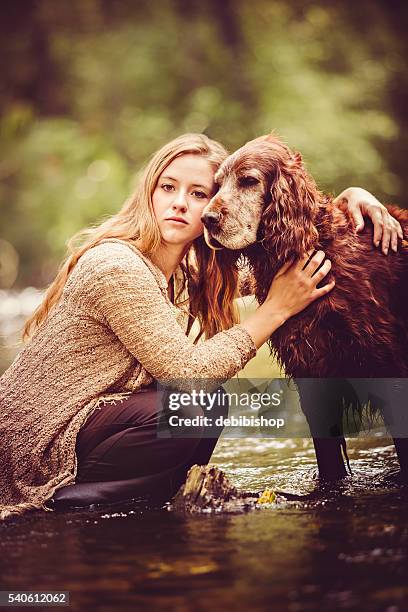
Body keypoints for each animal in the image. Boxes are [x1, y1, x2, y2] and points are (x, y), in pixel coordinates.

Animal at [202, 134, 408, 482]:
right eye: (217, 185)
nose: (207, 219)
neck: (317, 246)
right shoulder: (312, 375)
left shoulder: (390, 371)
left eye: (248, 180)